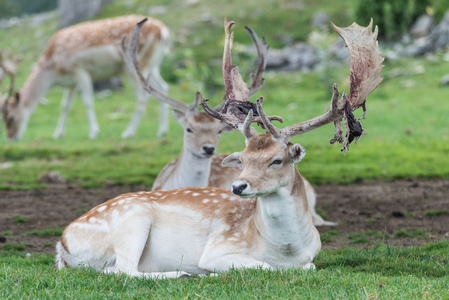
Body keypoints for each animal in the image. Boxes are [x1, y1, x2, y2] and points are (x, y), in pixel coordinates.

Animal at [0, 14, 171, 140]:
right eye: (3, 118)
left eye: (11, 117)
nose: (11, 137)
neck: (54, 71)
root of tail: (163, 31)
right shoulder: (71, 83)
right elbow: (65, 106)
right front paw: (57, 134)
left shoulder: (80, 70)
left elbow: (87, 101)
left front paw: (94, 132)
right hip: (152, 64)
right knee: (162, 87)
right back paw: (162, 131)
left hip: (134, 65)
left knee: (143, 97)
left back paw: (128, 132)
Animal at [56, 18, 384, 276]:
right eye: (244, 159)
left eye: (276, 160)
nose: (238, 186)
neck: (286, 249)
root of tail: (62, 244)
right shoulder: (219, 249)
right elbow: (264, 267)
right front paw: (207, 271)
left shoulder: (312, 256)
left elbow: (309, 266)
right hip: (132, 222)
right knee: (123, 269)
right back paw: (182, 273)